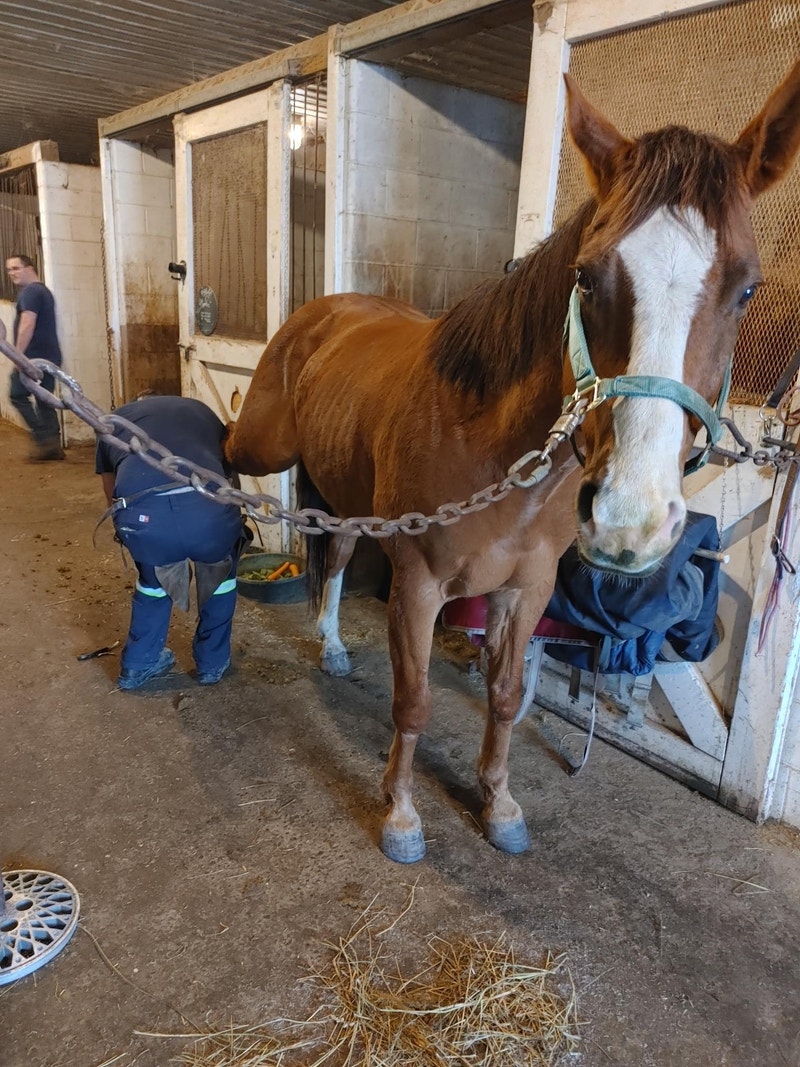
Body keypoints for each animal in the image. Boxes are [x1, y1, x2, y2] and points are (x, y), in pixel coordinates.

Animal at [225, 64, 800, 863]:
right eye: (586, 277)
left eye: (747, 289)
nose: (630, 521)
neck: (491, 448)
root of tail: (325, 312)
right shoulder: (419, 587)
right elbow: (414, 702)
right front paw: (401, 814)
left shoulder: (524, 589)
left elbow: (502, 699)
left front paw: (498, 805)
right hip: (265, 444)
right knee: (224, 456)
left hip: (343, 494)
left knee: (333, 554)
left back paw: (333, 646)